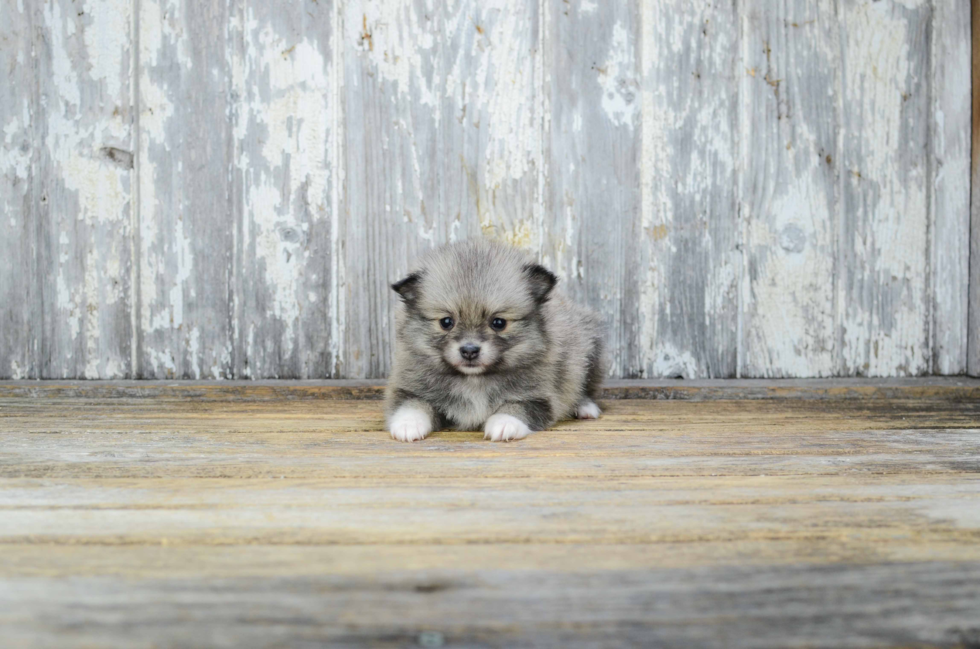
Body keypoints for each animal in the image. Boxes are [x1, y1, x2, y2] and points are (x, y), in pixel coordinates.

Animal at [384, 238, 604, 440]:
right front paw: (407, 424)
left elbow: (516, 406)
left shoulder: (539, 396)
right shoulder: (409, 386)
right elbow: (413, 404)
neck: (474, 380)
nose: (469, 350)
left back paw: (585, 407)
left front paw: (504, 423)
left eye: (498, 323)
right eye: (446, 322)